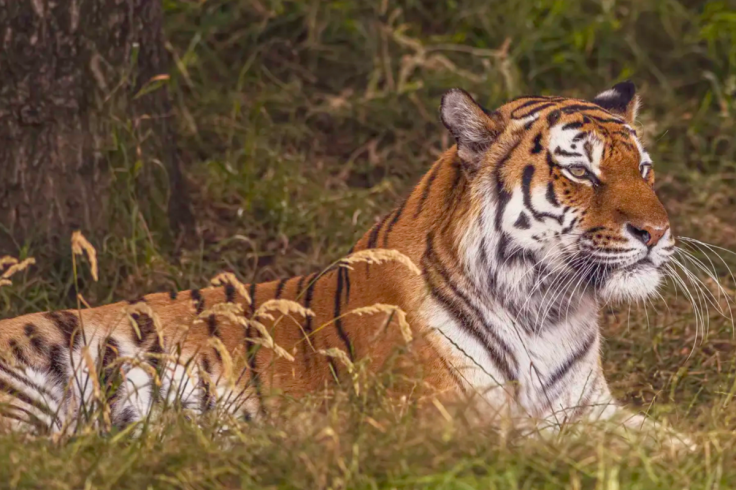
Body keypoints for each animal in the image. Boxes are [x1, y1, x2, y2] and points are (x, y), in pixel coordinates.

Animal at [0, 82, 692, 447]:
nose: (658, 232)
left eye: (644, 169)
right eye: (581, 172)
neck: (548, 308)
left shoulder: (592, 406)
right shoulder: (446, 422)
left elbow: (679, 442)